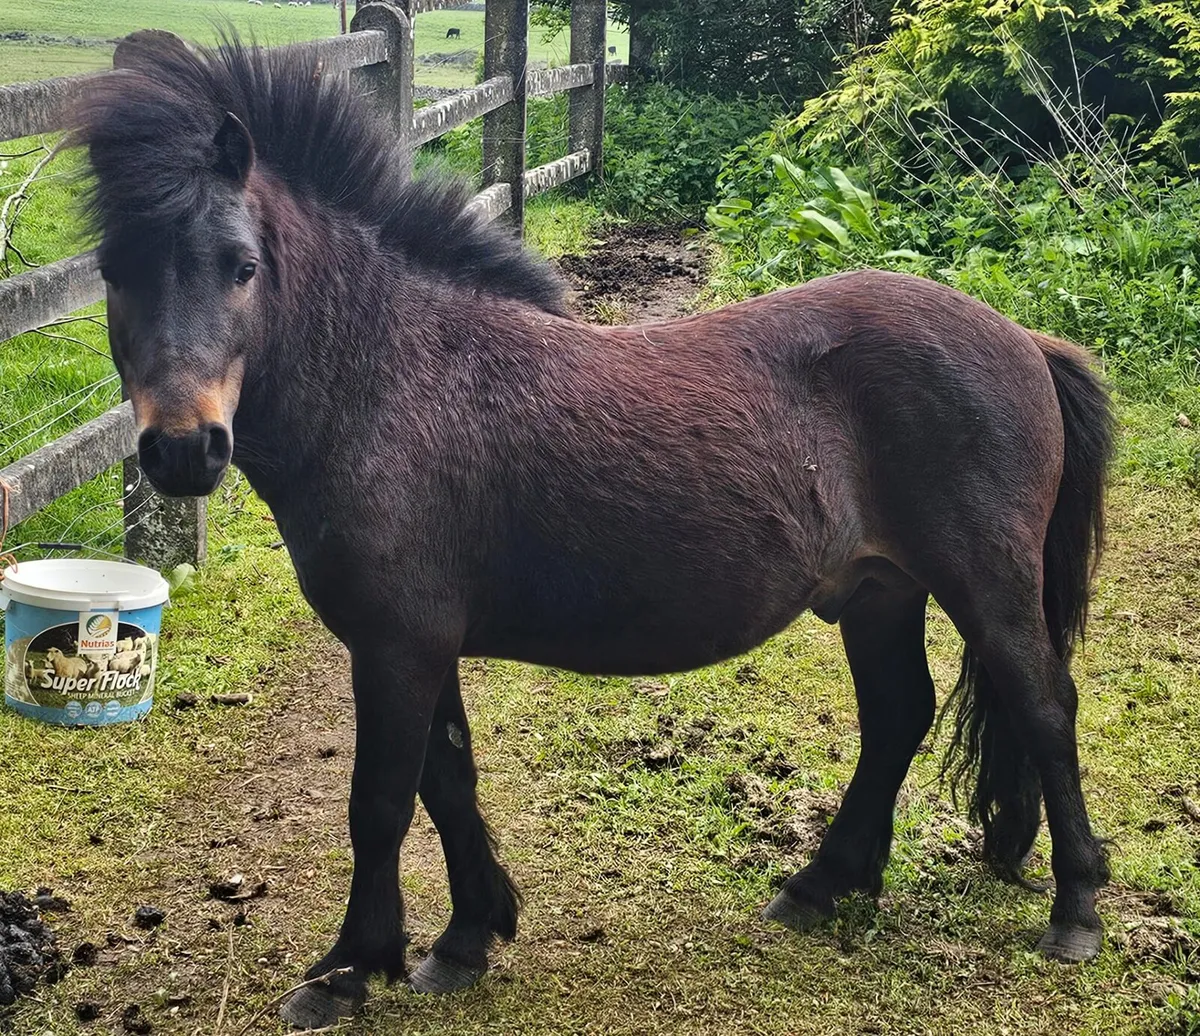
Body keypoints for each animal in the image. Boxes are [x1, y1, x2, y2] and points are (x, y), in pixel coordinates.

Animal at [74, 35, 1115, 1030]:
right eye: (114, 272)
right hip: (879, 592)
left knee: (1045, 707)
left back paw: (1076, 912)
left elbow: (380, 801)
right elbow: (448, 780)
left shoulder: (396, 643)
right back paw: (820, 887)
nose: (183, 449)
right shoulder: (421, 641)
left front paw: (348, 970)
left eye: (242, 267)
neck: (391, 379)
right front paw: (466, 937)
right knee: (899, 716)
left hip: (986, 582)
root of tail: (1024, 341)